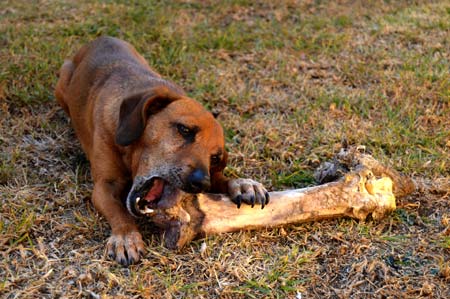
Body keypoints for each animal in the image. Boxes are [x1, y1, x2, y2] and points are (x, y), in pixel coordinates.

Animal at [54, 36, 268, 266]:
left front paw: (242, 184)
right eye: (184, 130)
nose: (202, 183)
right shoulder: (104, 186)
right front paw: (126, 237)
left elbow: (222, 179)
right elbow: (119, 212)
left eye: (215, 158)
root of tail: (101, 39)